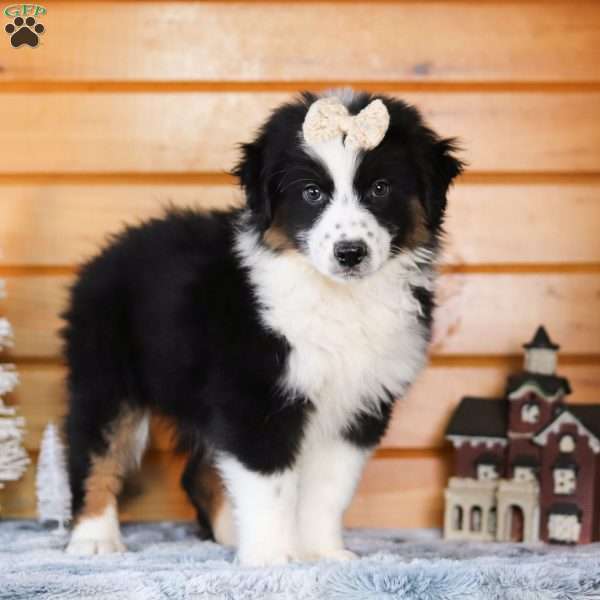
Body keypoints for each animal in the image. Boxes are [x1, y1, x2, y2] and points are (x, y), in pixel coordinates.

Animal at [62, 88, 464, 564]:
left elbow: (328, 490)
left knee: (198, 473)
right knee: (95, 452)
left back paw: (230, 533)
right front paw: (273, 559)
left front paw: (322, 553)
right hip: (106, 375)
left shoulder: (357, 406)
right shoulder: (255, 396)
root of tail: (106, 254)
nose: (350, 252)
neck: (338, 296)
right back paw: (93, 537)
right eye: (312, 193)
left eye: (380, 188)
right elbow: (269, 485)